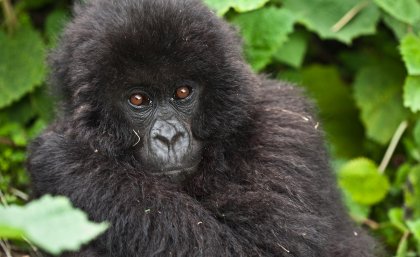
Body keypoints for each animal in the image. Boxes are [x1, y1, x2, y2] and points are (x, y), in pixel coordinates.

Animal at [27, 0, 382, 256]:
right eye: (138, 99)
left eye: (183, 92)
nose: (169, 137)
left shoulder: (284, 129)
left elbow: (267, 248)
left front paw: (67, 163)